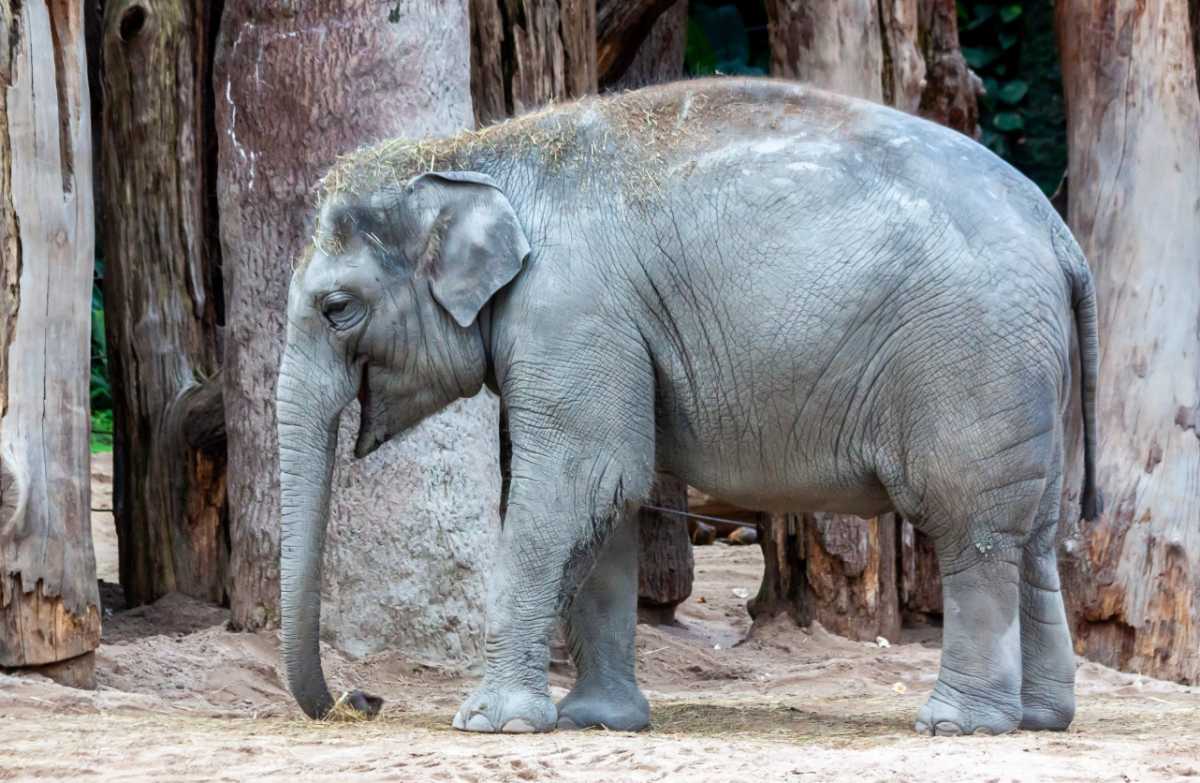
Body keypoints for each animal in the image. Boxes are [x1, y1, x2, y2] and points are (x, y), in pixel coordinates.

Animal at [276, 79, 1099, 739]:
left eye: (338, 308)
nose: (360, 699)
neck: (478, 149)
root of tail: (1060, 232)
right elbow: (608, 500)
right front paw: (597, 721)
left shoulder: (571, 307)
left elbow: (582, 480)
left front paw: (491, 724)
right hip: (1031, 377)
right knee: (1035, 535)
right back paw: (1040, 719)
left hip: (975, 361)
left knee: (973, 529)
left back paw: (956, 726)